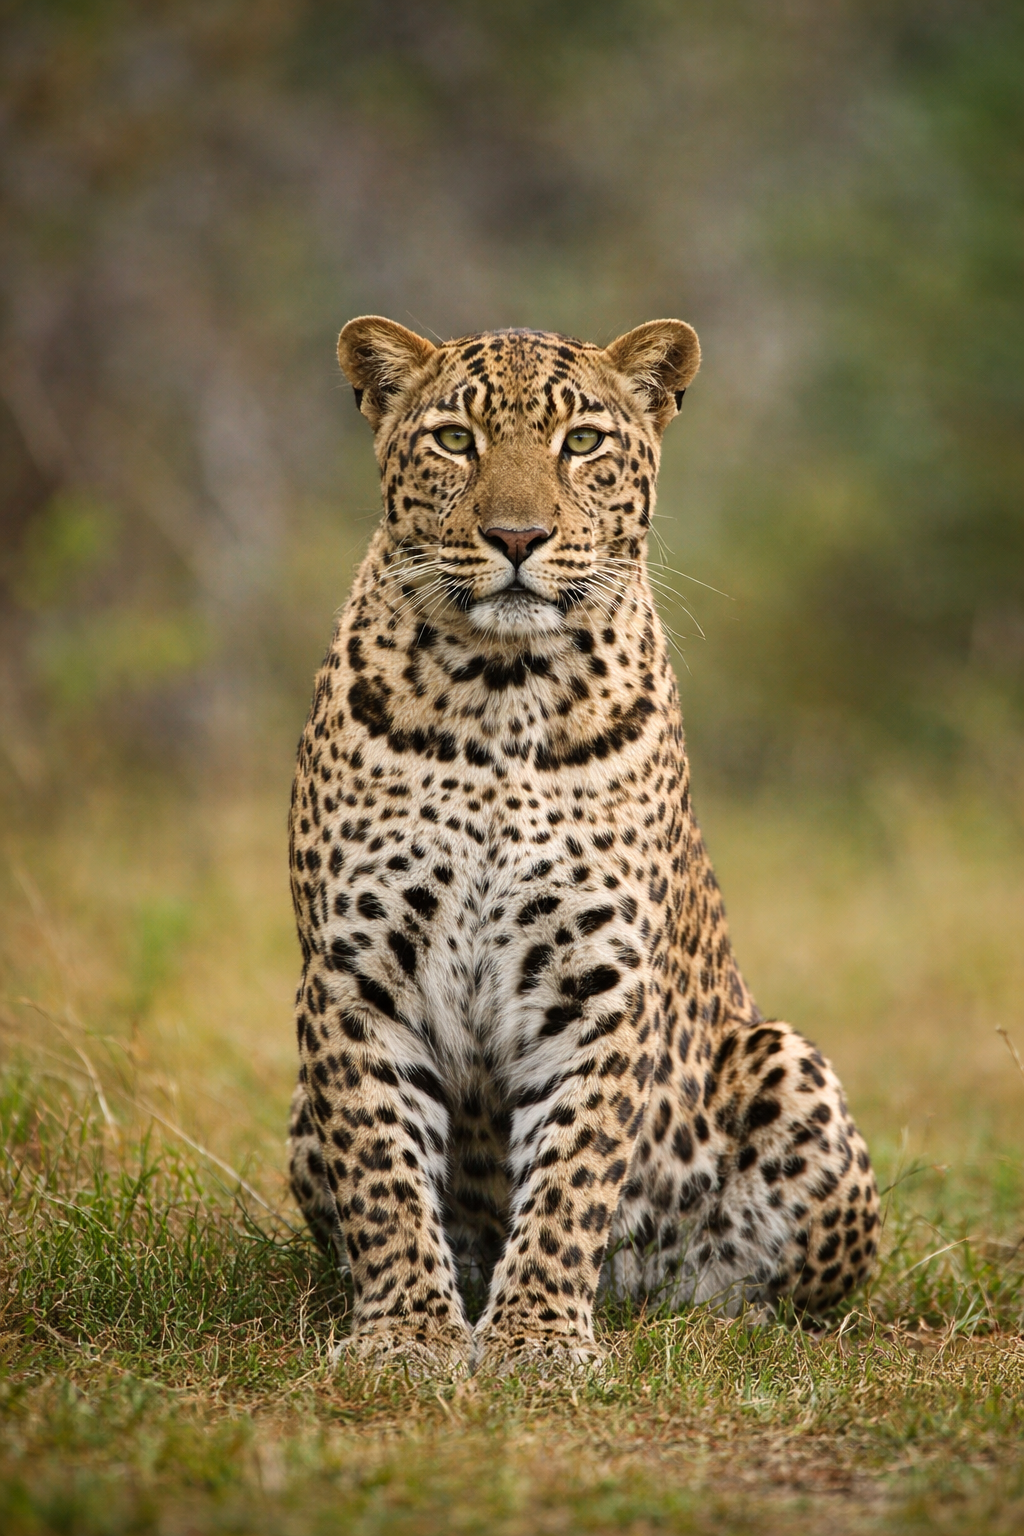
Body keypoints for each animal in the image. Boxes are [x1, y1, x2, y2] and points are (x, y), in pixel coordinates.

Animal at [286, 314, 879, 1375]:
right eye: (455, 440)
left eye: (584, 442)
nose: (518, 536)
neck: (498, 687)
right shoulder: (355, 972)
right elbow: (382, 1170)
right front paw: (408, 1334)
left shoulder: (599, 979)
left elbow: (573, 1171)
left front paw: (536, 1339)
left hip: (786, 1064)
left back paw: (713, 1315)